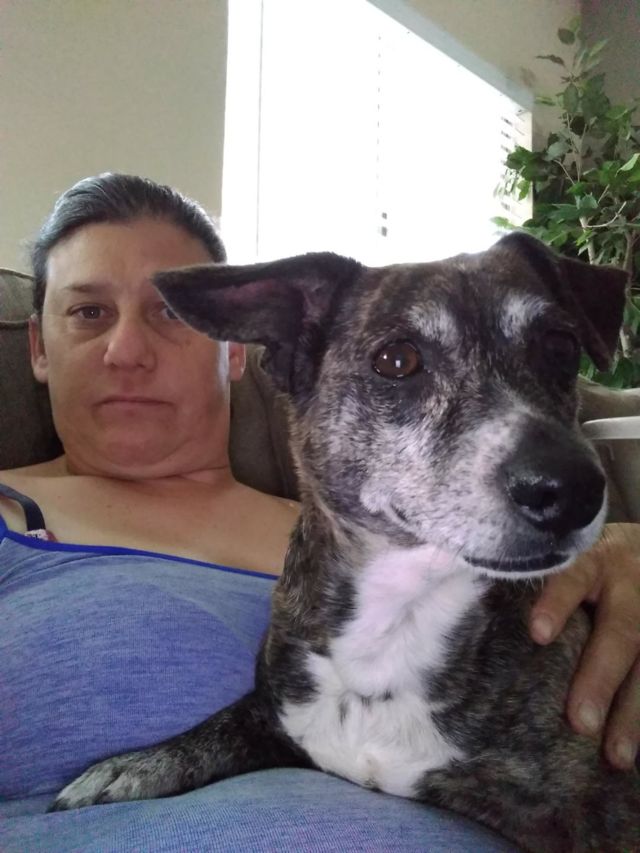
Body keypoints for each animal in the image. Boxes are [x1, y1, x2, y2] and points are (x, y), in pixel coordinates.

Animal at [51, 233, 638, 852]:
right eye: (397, 361)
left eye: (560, 346)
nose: (573, 488)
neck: (398, 616)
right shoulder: (286, 713)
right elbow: (224, 725)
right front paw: (135, 765)